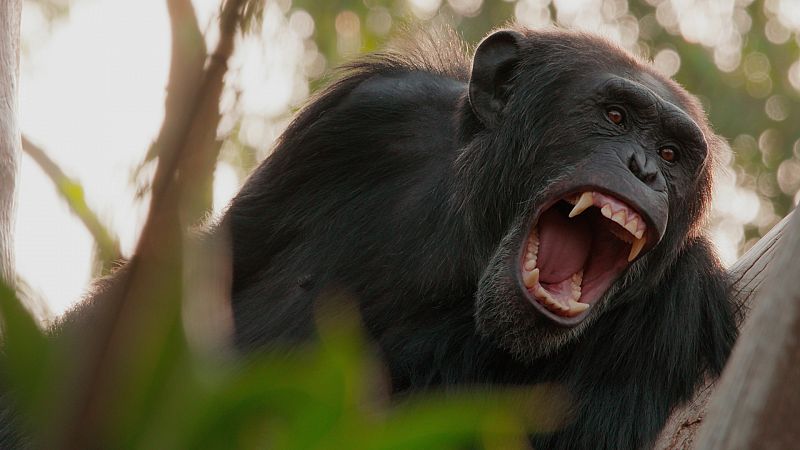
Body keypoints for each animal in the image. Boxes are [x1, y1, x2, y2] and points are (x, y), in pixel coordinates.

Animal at [220, 26, 736, 448]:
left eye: (670, 154)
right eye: (615, 116)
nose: (644, 169)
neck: (474, 240)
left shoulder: (671, 313)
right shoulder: (365, 114)